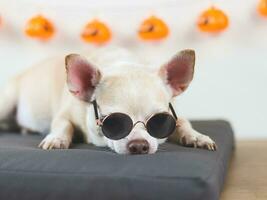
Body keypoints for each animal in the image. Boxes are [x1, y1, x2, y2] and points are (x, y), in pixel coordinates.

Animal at [0, 47, 218, 154]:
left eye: (161, 121)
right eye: (112, 123)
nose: (139, 145)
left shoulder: (175, 115)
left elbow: (184, 122)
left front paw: (197, 137)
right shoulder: (64, 115)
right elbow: (62, 125)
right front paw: (57, 138)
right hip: (7, 101)